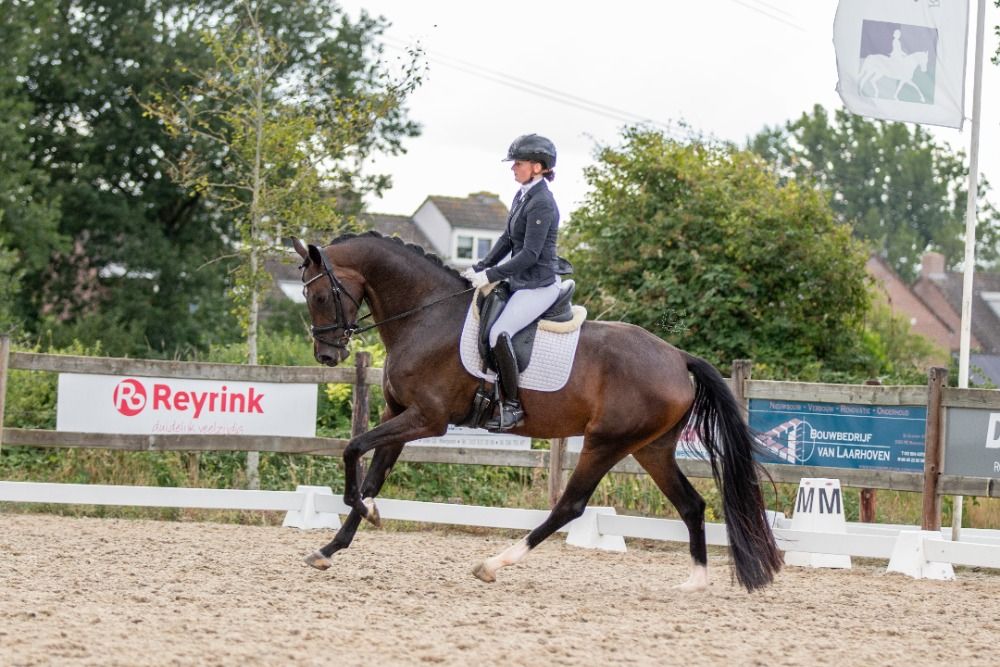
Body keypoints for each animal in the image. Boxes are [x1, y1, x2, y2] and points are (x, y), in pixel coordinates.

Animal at [292, 231, 782, 592]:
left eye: (319, 297)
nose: (327, 356)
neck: (425, 318)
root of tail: (678, 357)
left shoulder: (426, 419)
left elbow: (352, 450)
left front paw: (367, 513)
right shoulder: (399, 413)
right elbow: (372, 474)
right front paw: (331, 547)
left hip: (606, 442)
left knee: (571, 506)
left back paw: (493, 564)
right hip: (652, 448)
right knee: (691, 504)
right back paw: (694, 583)